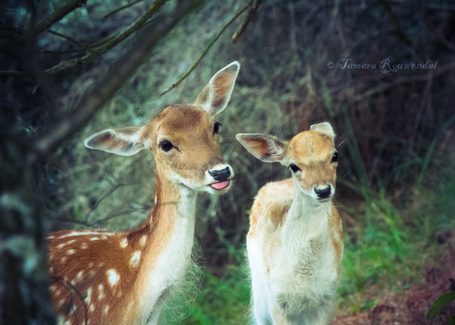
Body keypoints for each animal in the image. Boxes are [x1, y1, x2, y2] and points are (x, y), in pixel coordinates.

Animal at [237, 121, 344, 324]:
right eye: (294, 166)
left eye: (335, 155)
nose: (323, 190)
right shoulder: (277, 301)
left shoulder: (325, 299)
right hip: (259, 294)